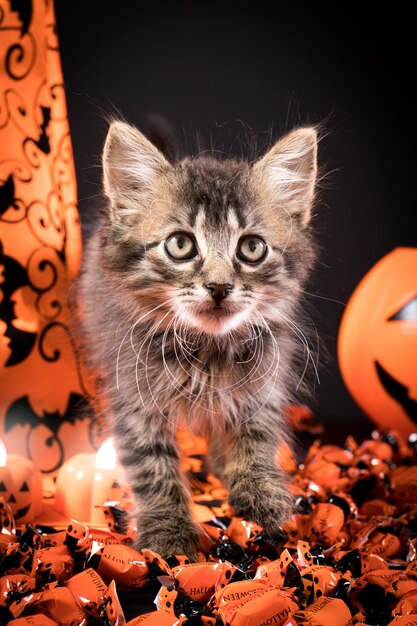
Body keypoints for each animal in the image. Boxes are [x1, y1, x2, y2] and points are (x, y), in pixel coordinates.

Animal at [79, 119, 316, 560]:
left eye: (252, 248)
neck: (206, 348)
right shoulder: (132, 395)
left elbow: (258, 433)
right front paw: (168, 533)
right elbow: (152, 466)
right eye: (181, 244)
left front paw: (260, 492)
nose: (219, 286)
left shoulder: (264, 379)